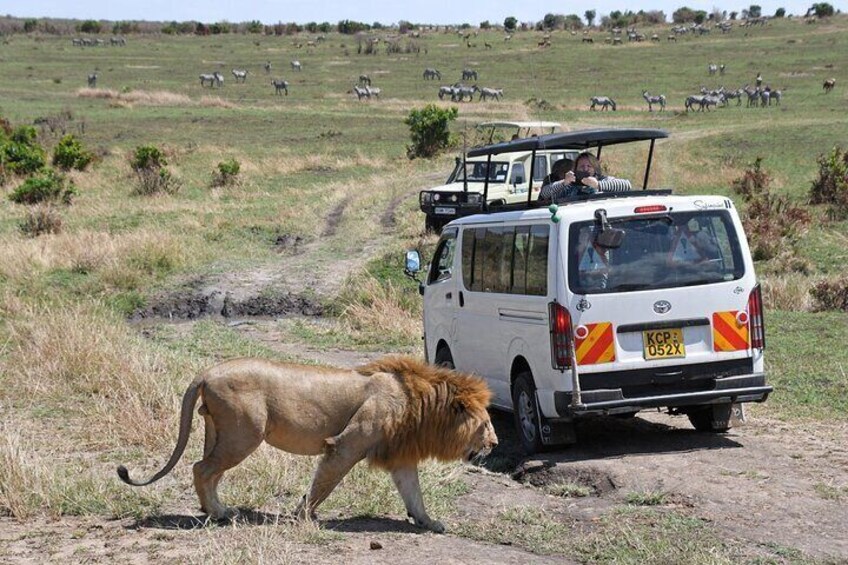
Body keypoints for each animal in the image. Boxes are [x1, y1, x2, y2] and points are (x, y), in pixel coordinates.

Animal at [117, 355, 496, 533]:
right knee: (202, 469)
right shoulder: (345, 445)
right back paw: (219, 513)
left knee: (207, 471)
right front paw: (303, 517)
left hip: (222, 433)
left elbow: (414, 494)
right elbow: (323, 484)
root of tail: (206, 373)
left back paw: (214, 510)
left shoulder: (401, 458)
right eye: (485, 424)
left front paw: (429, 523)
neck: (419, 403)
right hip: (245, 434)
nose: (494, 444)